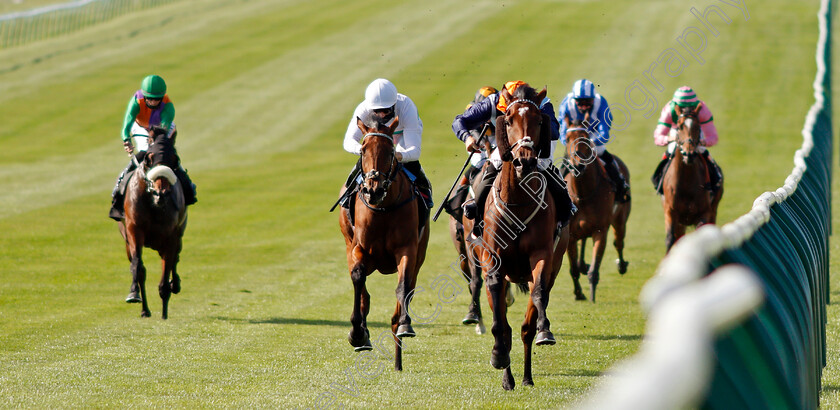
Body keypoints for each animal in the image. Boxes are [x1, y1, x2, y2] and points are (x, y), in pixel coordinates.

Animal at [118, 126, 187, 318]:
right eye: (149, 158)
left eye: (175, 159)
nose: (161, 193)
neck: (155, 205)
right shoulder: (134, 230)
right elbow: (138, 268)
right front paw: (140, 302)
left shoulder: (171, 236)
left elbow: (167, 269)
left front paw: (164, 313)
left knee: (175, 258)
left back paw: (175, 285)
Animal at [338, 116, 430, 372]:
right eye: (363, 150)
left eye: (390, 151)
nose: (374, 189)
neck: (383, 208)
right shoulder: (358, 248)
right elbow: (358, 280)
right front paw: (357, 334)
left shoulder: (407, 249)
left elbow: (403, 286)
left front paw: (404, 324)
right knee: (363, 291)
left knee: (408, 289)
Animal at [472, 85, 572, 390]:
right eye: (509, 120)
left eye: (540, 120)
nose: (525, 160)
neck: (518, 199)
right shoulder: (493, 259)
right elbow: (499, 320)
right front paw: (498, 355)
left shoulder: (542, 256)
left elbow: (539, 294)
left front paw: (545, 331)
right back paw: (508, 376)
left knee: (527, 325)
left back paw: (526, 375)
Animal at [564, 115, 632, 302]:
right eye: (567, 139)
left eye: (586, 139)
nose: (578, 165)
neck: (584, 194)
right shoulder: (570, 235)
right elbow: (573, 269)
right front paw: (578, 293)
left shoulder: (600, 230)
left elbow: (595, 269)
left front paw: (592, 296)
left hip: (620, 219)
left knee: (619, 242)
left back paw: (621, 265)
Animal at [664, 103, 720, 250]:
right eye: (679, 126)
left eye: (698, 127)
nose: (689, 154)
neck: (686, 184)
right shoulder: (670, 212)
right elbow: (670, 239)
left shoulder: (704, 213)